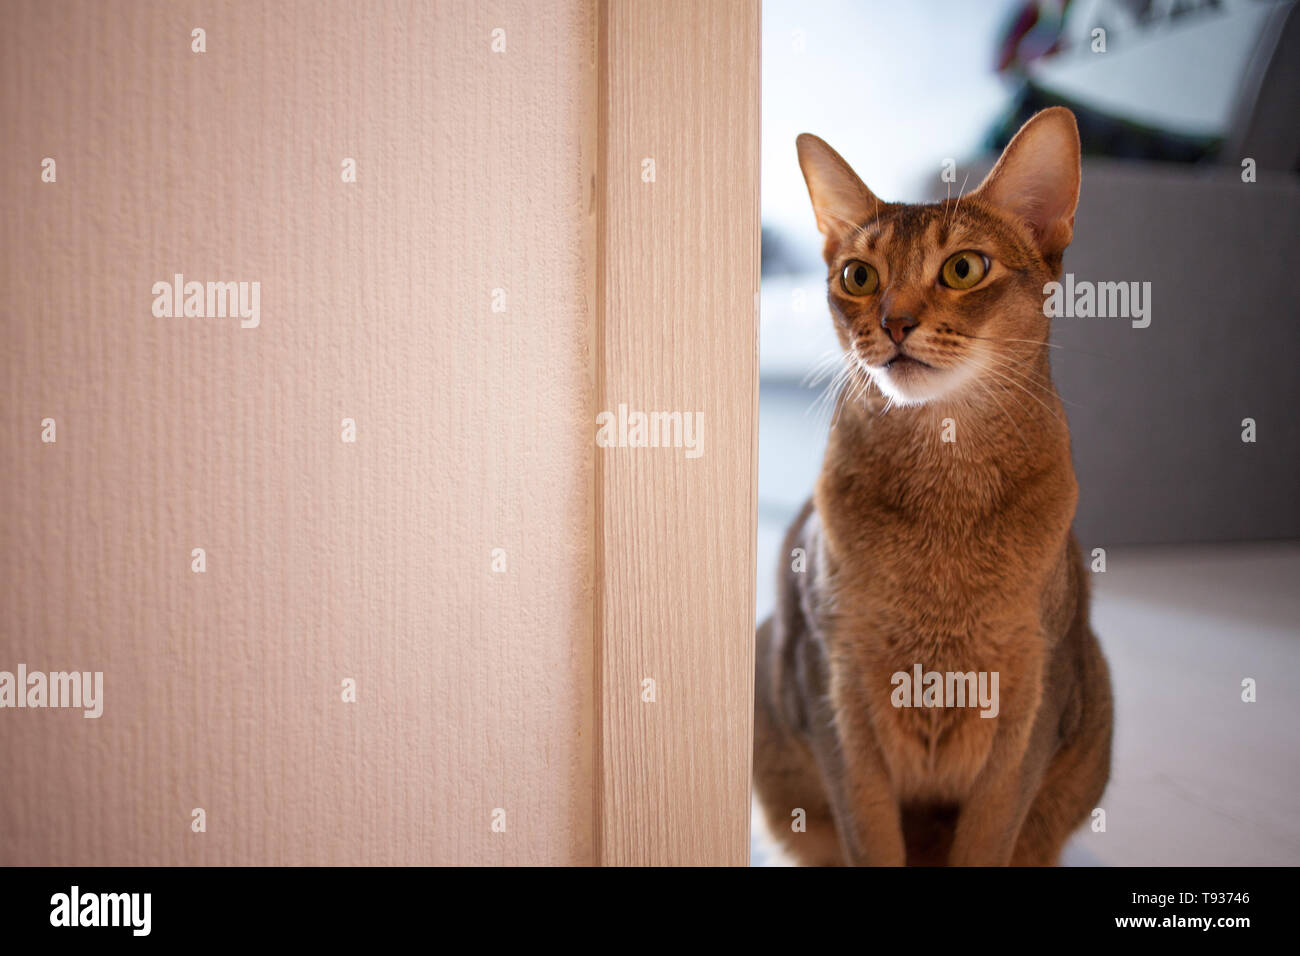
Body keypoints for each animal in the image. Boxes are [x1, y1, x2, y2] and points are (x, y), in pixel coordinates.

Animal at [759, 106, 1112, 868]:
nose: (894, 323)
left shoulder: (1029, 706)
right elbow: (870, 839)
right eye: (858, 275)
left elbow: (987, 840)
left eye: (964, 267)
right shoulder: (835, 693)